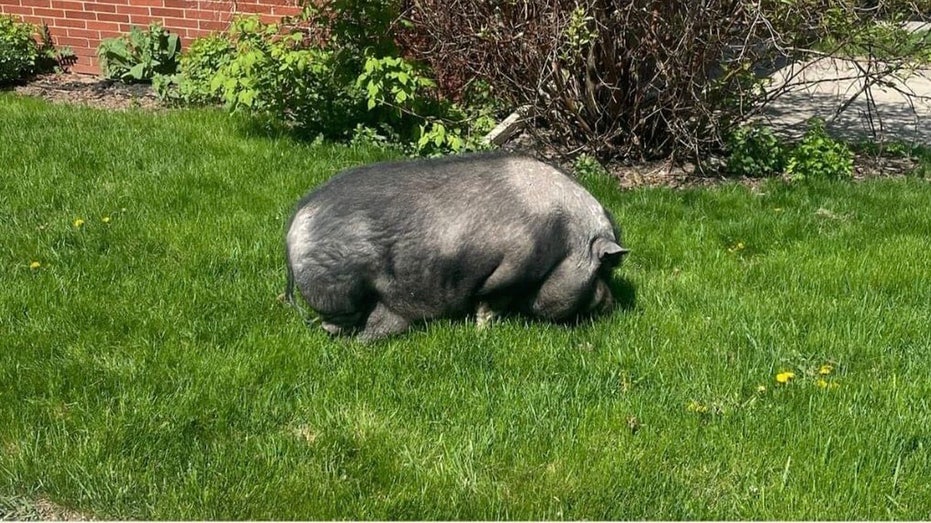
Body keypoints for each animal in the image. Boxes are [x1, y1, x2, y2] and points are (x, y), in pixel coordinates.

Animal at [284, 151, 628, 342]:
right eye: (603, 269)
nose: (612, 304)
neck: (564, 239)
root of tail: (294, 223)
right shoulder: (512, 266)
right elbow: (491, 300)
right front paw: (483, 330)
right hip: (339, 288)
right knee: (335, 323)